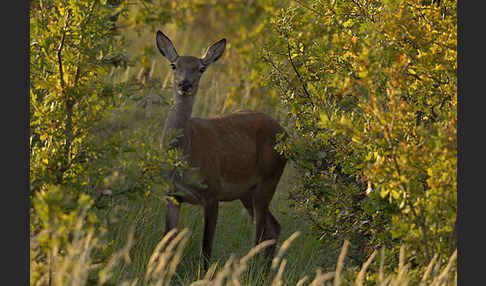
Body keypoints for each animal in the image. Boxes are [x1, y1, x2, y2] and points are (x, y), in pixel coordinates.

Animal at [156, 31, 286, 270]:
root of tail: (285, 134)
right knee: (273, 227)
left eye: (201, 68)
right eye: (173, 65)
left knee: (259, 233)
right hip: (247, 192)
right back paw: (266, 271)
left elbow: (206, 248)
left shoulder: (212, 193)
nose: (184, 84)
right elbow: (166, 241)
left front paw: (204, 273)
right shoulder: (172, 194)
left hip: (268, 179)